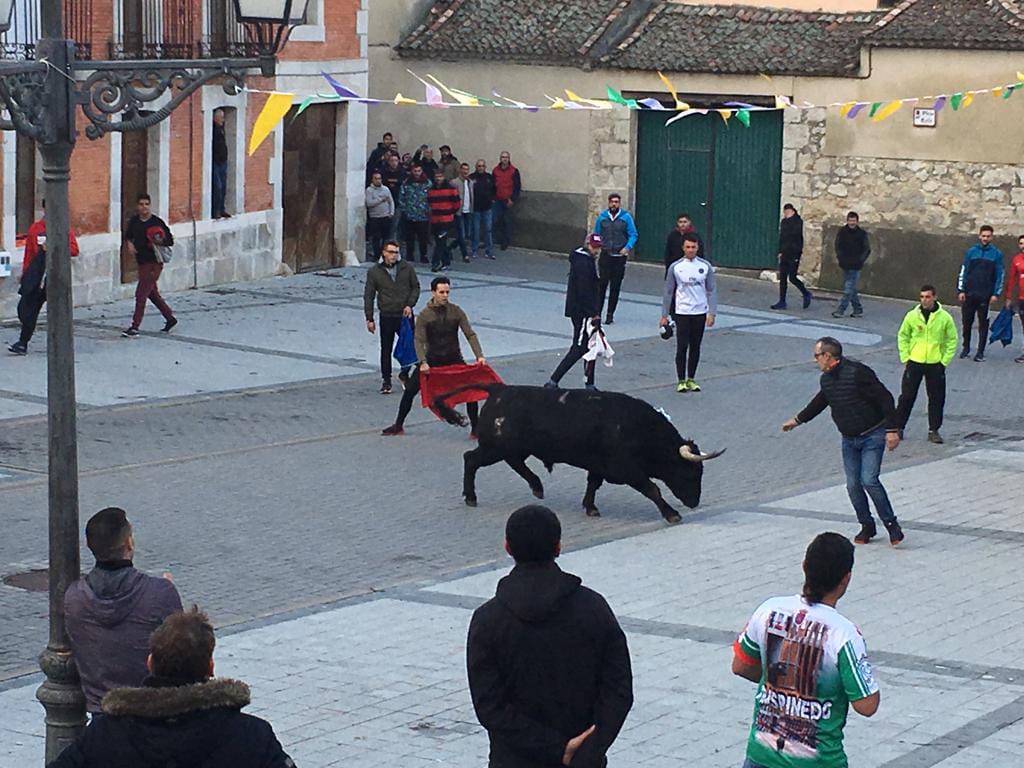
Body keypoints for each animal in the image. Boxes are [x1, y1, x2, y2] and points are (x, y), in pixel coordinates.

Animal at [430, 382, 720, 524]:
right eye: (690, 471)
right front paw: (671, 514)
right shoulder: (627, 470)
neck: (639, 428)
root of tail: (499, 389)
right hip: (495, 447)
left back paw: (537, 487)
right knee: (471, 459)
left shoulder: (599, 466)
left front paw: (590, 507)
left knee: (513, 463)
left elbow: (593, 484)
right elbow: (653, 489)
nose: (694, 502)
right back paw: (471, 497)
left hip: (510, 448)